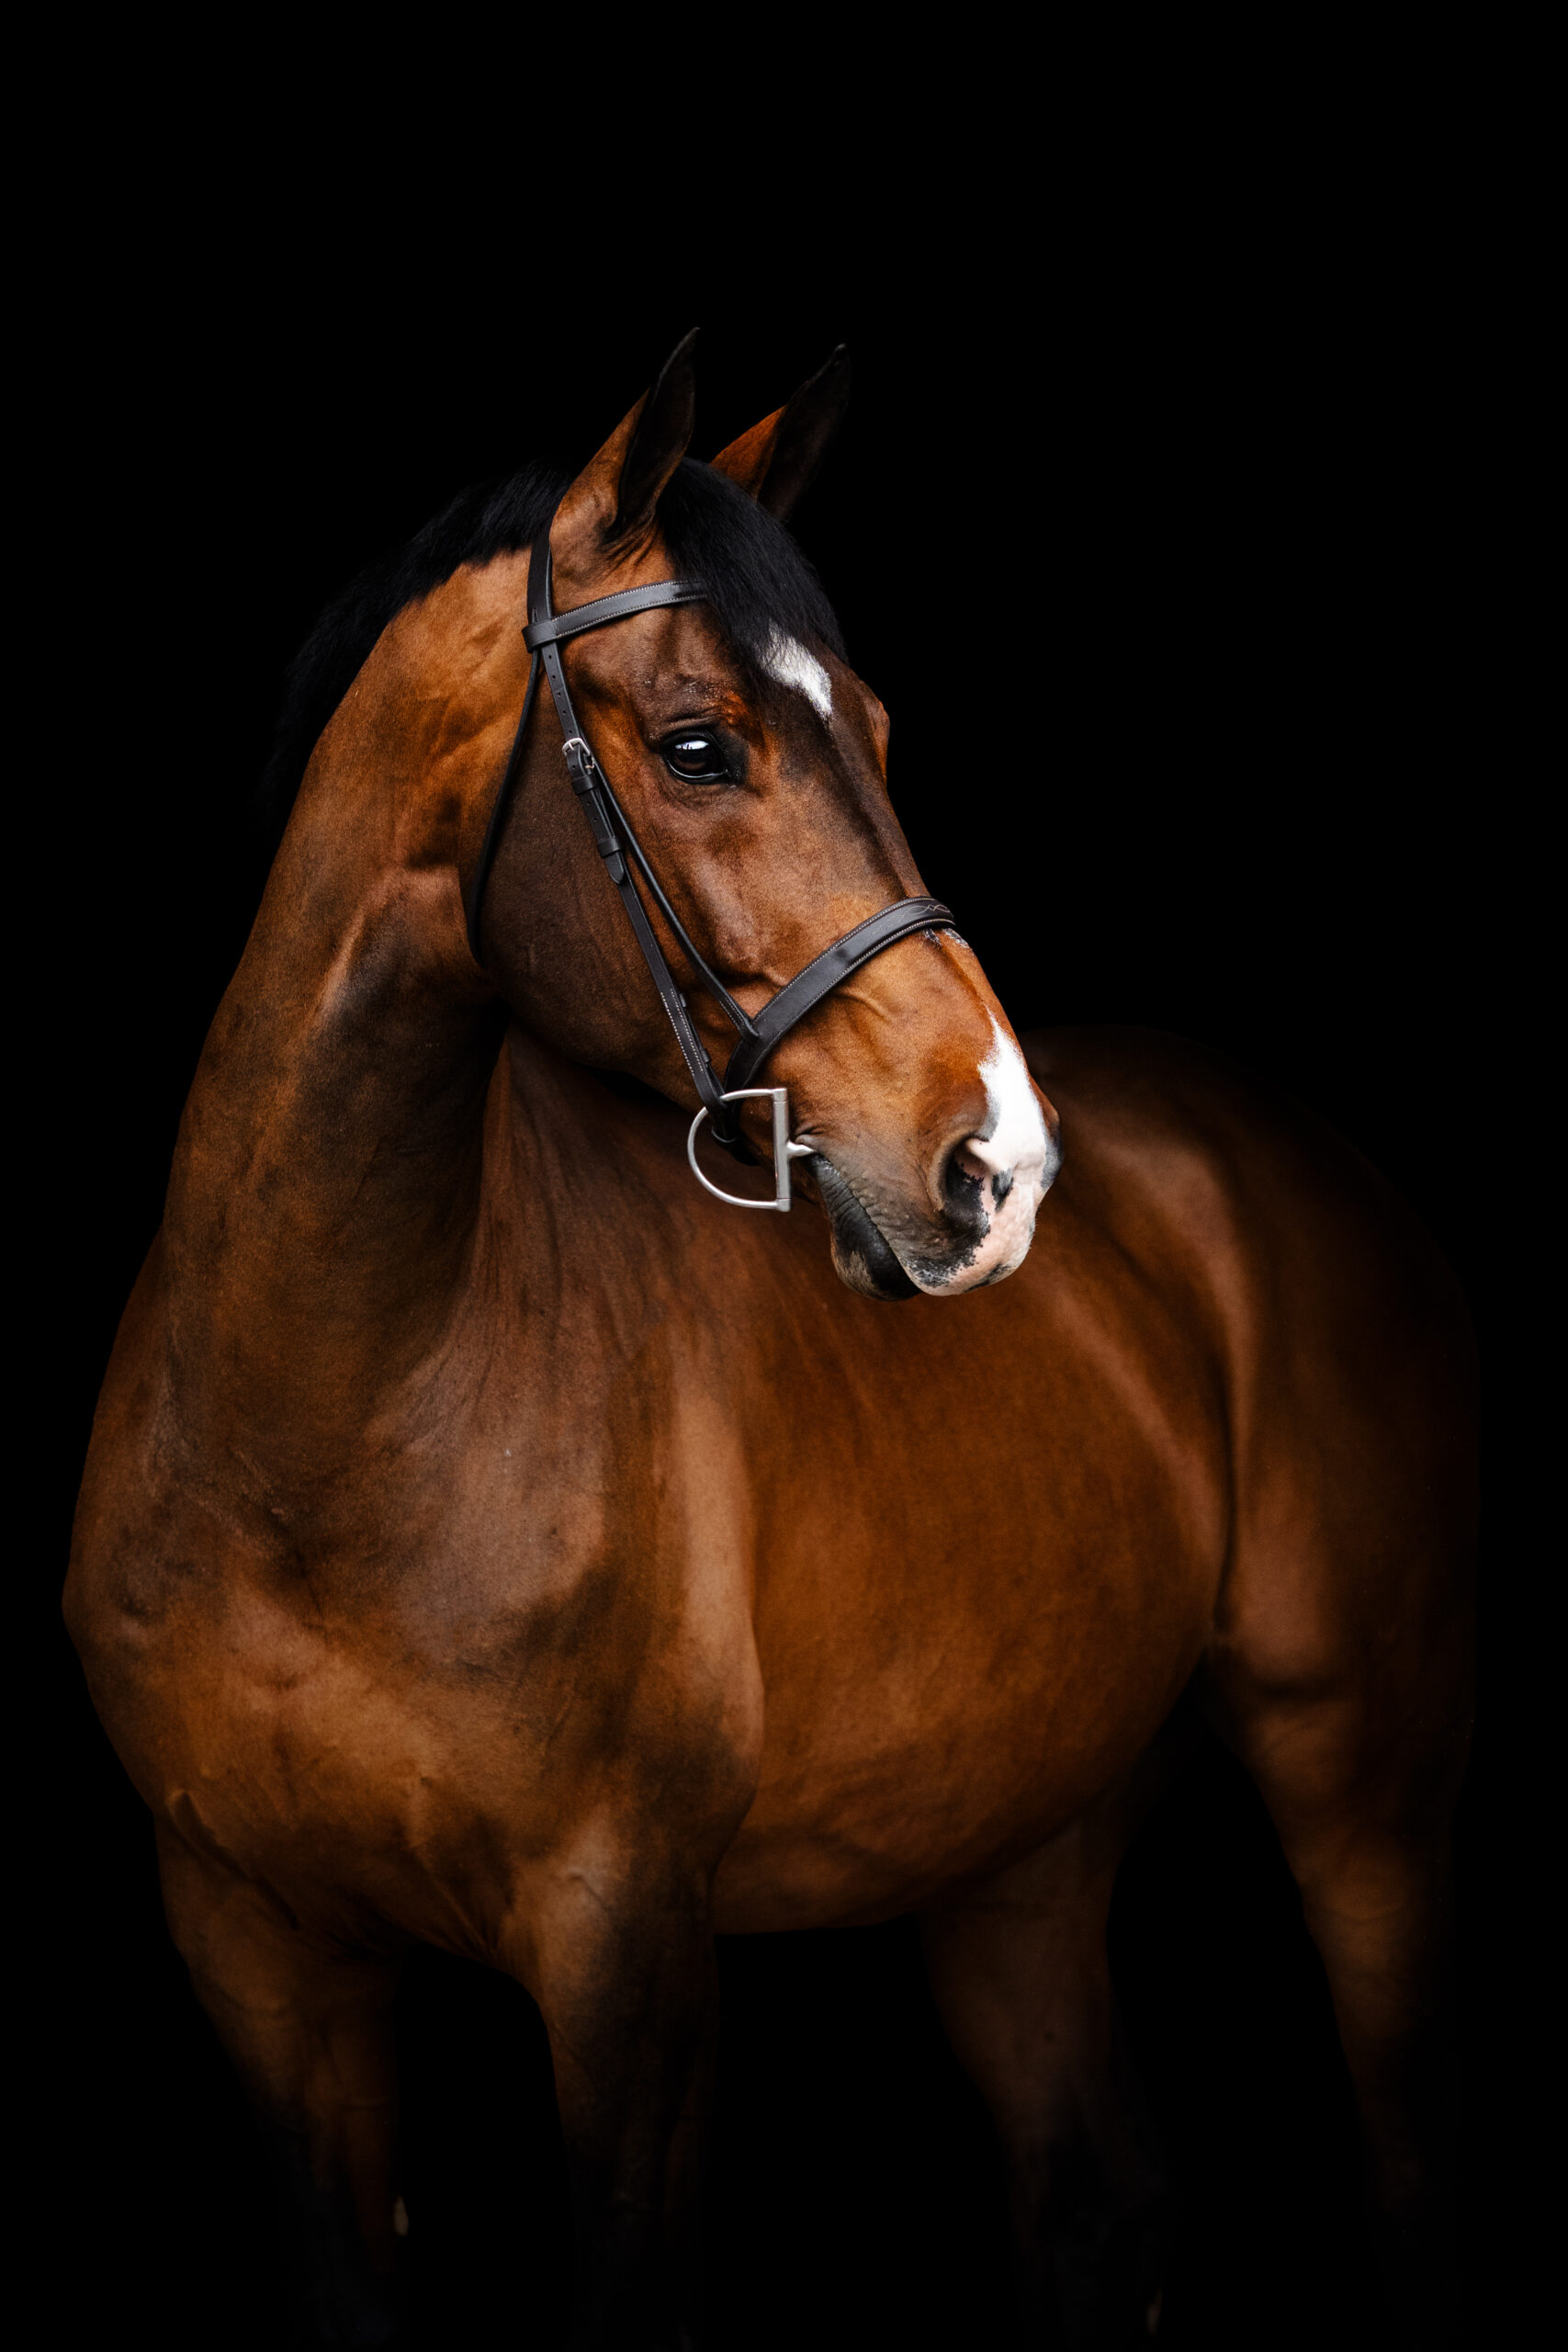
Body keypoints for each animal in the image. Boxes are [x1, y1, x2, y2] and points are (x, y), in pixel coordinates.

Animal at [66, 333, 1475, 2349]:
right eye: (697, 743)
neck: (322, 1441)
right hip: (1015, 1849)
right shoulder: (262, 1959)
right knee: (1100, 2197)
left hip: (1359, 1778)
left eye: (873, 730)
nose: (1000, 1163)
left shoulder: (627, 1962)